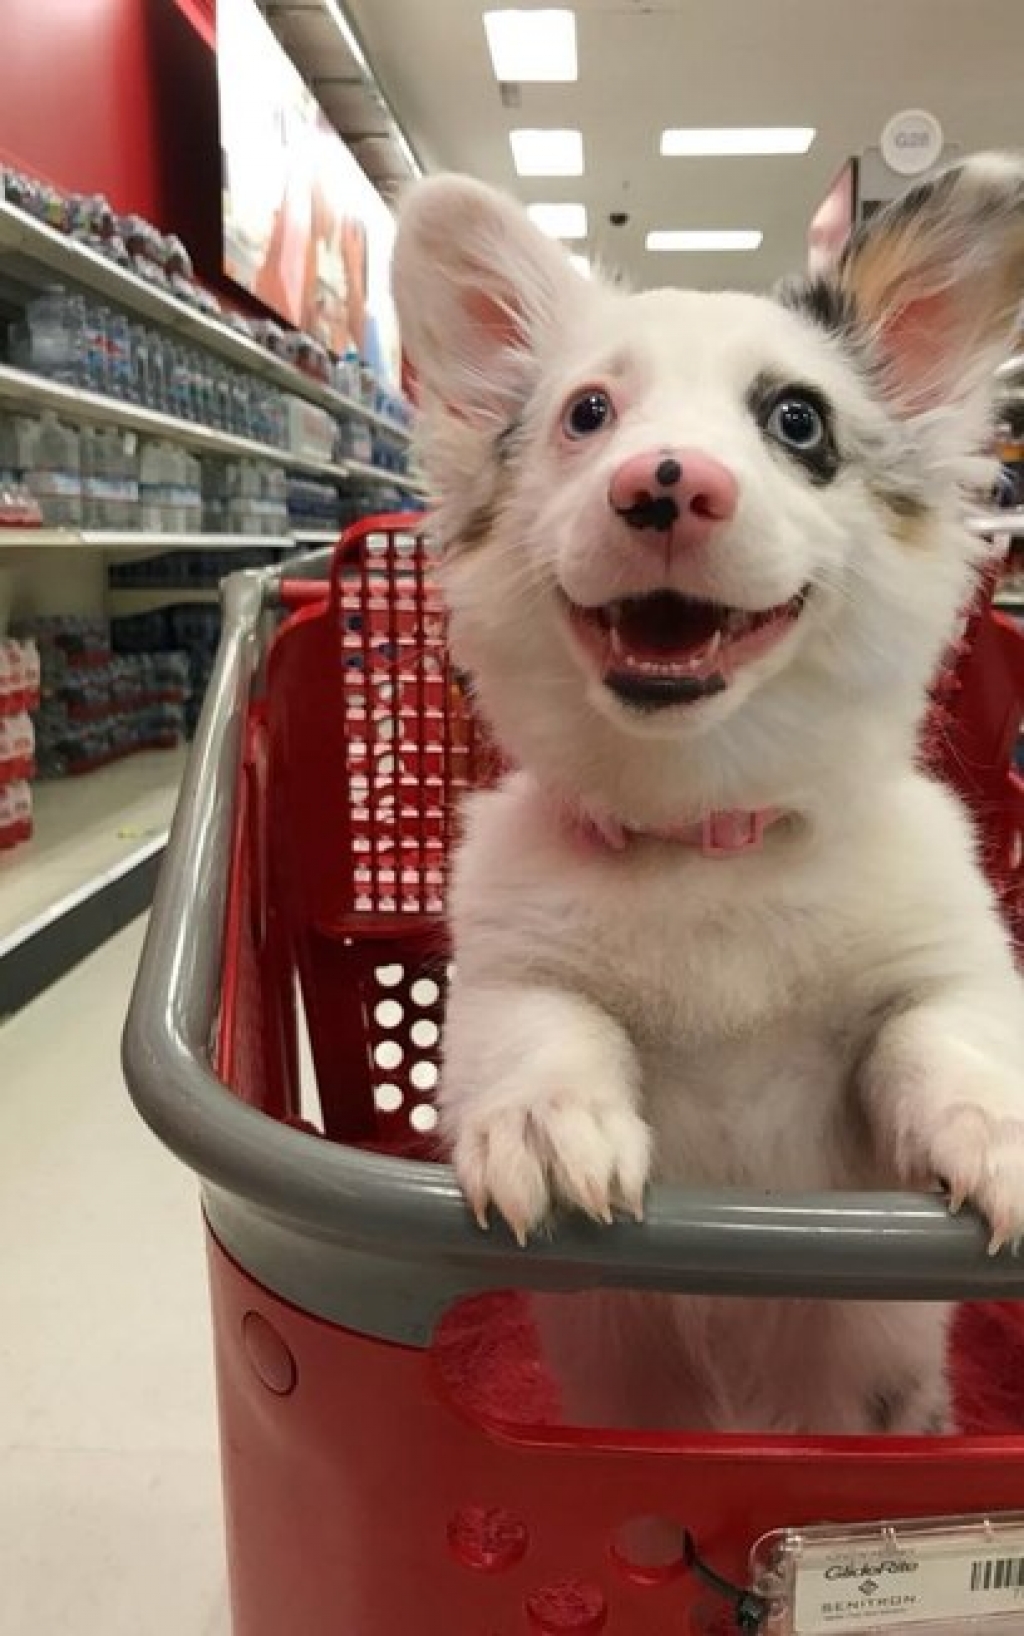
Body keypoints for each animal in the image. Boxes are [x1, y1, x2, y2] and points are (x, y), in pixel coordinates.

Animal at [390, 156, 1020, 1433]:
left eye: (797, 421)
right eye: (588, 414)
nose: (663, 482)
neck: (702, 829)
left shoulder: (946, 972)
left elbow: (943, 1033)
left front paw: (995, 1123)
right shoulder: (500, 979)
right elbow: (541, 1026)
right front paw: (545, 1118)